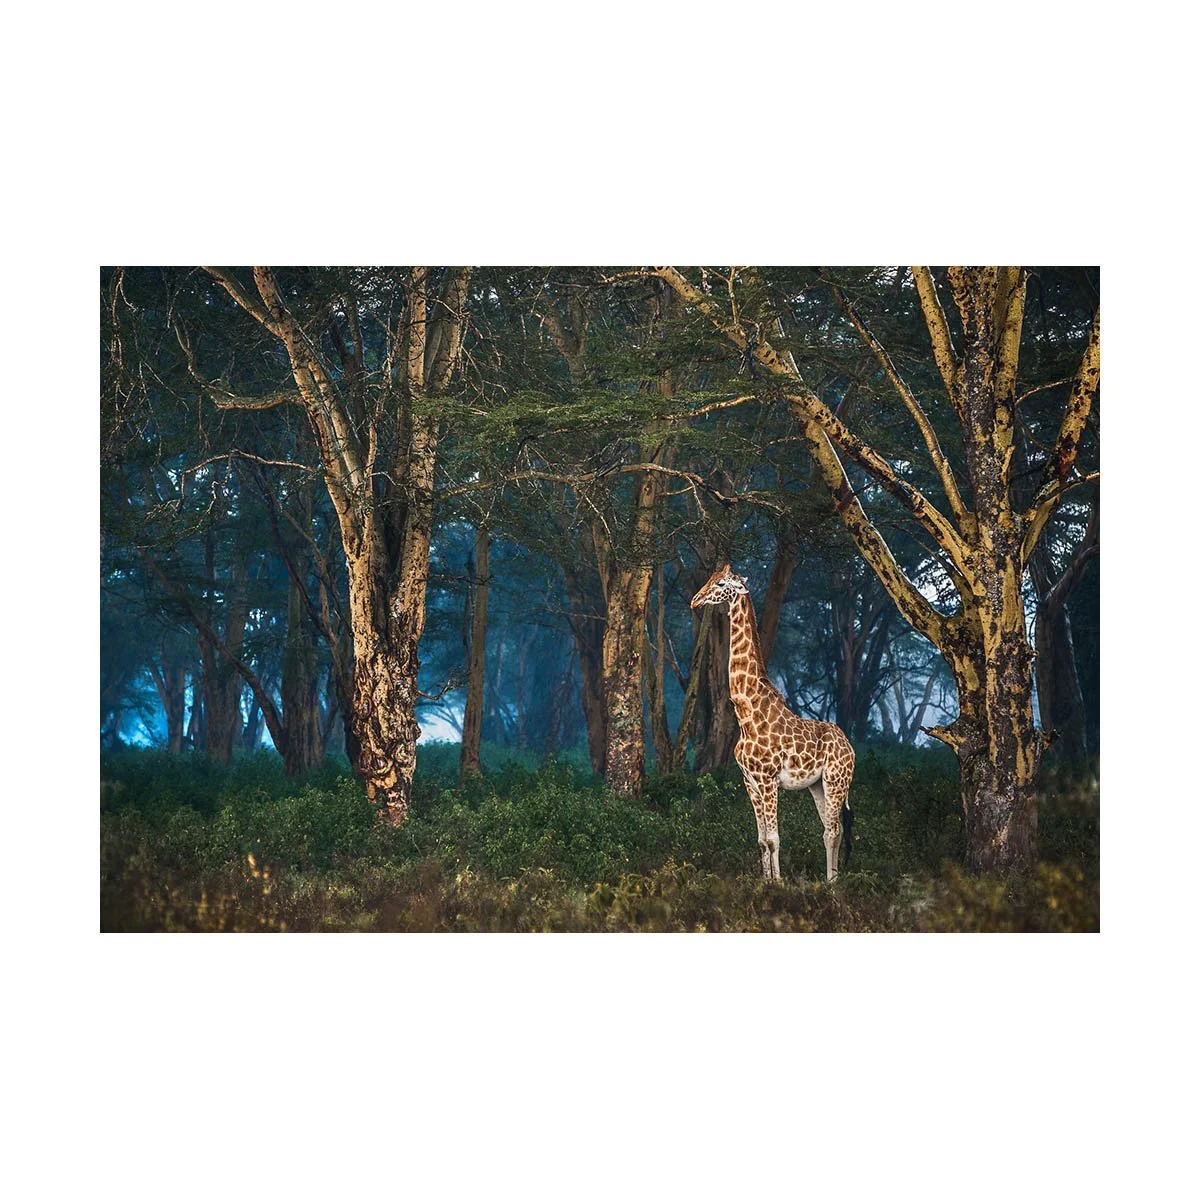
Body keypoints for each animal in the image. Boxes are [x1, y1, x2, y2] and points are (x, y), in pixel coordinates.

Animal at [691, 564, 856, 882]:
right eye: (708, 579)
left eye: (720, 584)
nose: (695, 600)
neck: (746, 714)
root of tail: (850, 746)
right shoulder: (750, 782)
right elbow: (761, 839)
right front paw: (765, 880)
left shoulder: (769, 780)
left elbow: (774, 838)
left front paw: (778, 882)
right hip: (816, 786)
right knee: (831, 829)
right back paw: (829, 880)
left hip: (836, 781)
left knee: (835, 829)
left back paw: (832, 882)